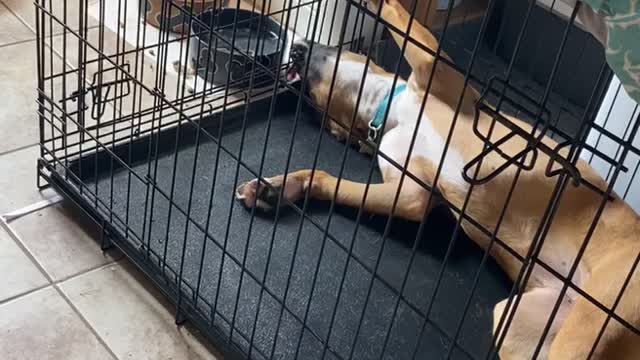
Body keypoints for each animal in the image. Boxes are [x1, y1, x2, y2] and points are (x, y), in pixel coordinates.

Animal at [235, 1, 640, 358]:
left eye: (336, 46)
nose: (295, 49)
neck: (392, 110)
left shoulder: (435, 67)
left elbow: (400, 17)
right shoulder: (409, 193)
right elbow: (325, 178)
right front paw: (279, 188)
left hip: (599, 309)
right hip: (522, 321)